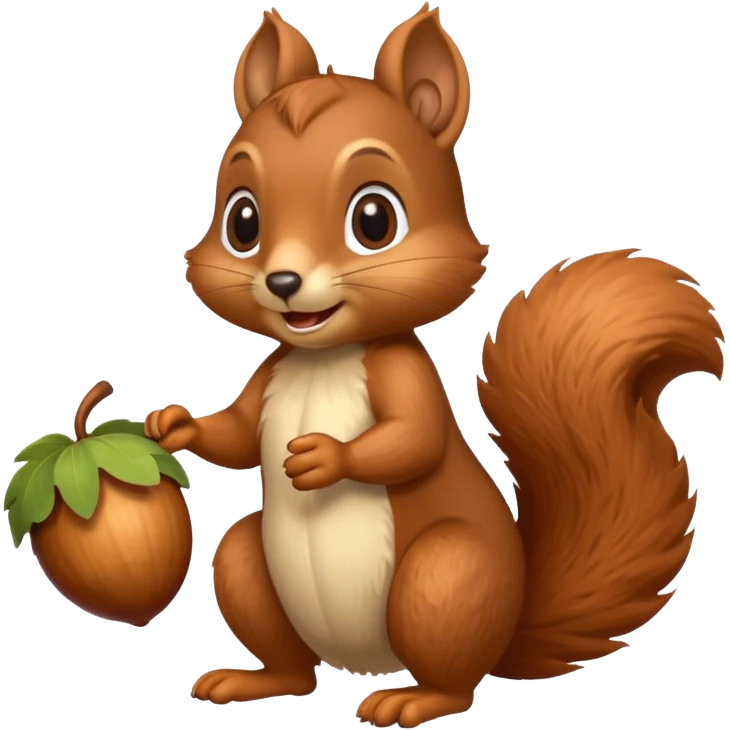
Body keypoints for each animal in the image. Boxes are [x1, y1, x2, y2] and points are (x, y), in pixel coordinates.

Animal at [144, 5, 726, 727]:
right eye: (242, 220)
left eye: (374, 219)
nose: (282, 282)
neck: (323, 356)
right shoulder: (272, 371)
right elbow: (234, 433)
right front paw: (176, 425)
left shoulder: (405, 373)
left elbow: (412, 439)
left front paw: (325, 457)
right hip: (252, 568)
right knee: (292, 661)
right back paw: (254, 680)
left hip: (446, 578)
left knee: (455, 677)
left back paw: (413, 700)